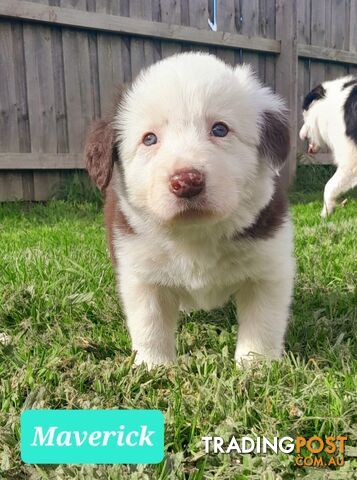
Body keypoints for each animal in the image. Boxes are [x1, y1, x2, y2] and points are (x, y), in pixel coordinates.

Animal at [85, 53, 294, 368]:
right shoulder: (140, 270)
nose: (186, 182)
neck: (195, 233)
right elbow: (150, 323)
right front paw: (153, 366)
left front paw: (256, 365)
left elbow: (262, 322)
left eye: (220, 129)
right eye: (149, 138)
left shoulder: (268, 268)